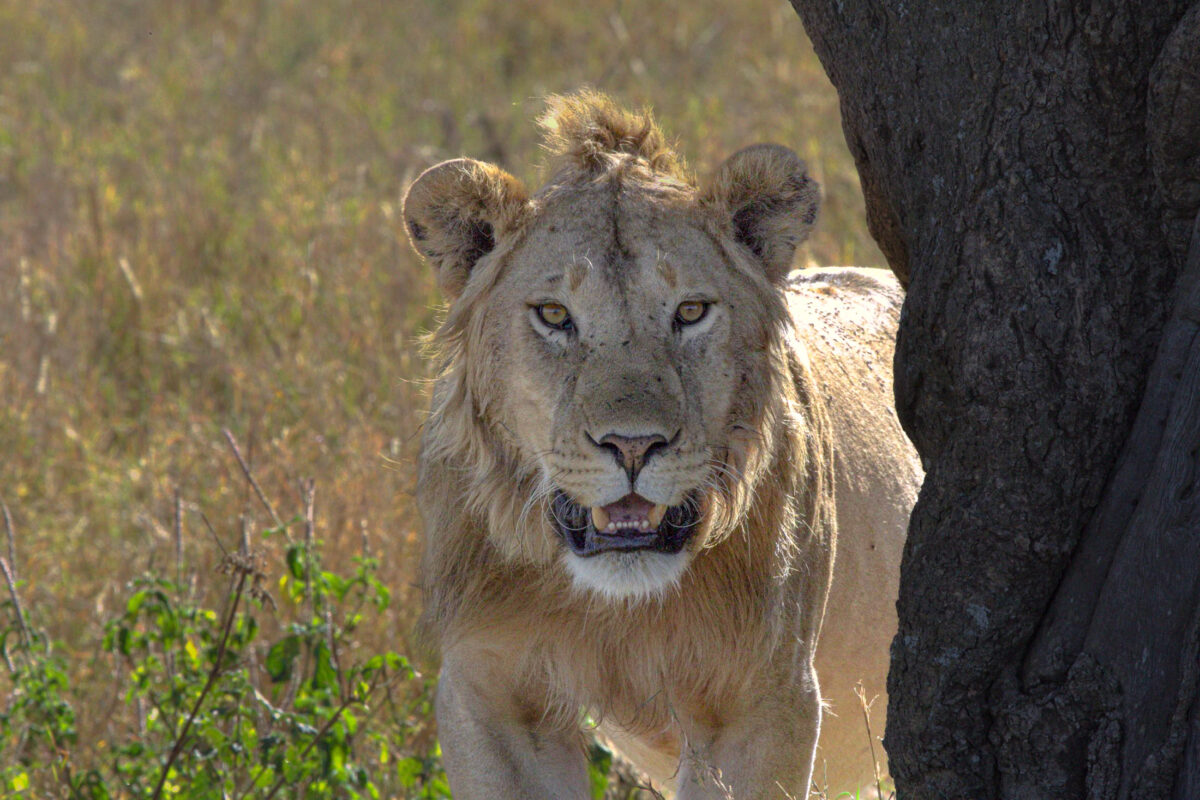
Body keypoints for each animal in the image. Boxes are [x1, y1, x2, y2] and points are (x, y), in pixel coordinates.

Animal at [402, 91, 921, 799]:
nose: (632, 445)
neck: (623, 612)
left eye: (691, 312)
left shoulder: (763, 704)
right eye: (555, 315)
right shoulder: (490, 690)